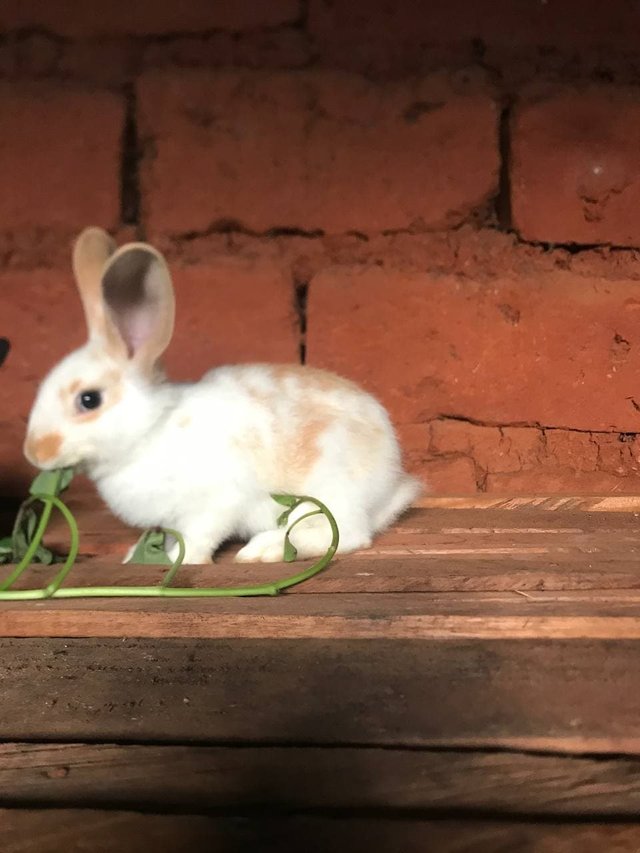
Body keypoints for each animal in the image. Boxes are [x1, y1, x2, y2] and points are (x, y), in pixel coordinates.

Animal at [22, 226, 422, 564]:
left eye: (89, 400)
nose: (34, 453)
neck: (151, 430)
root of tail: (390, 481)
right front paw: (139, 554)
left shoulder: (214, 503)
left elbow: (198, 537)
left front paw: (178, 562)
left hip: (328, 489)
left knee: (347, 535)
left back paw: (262, 550)